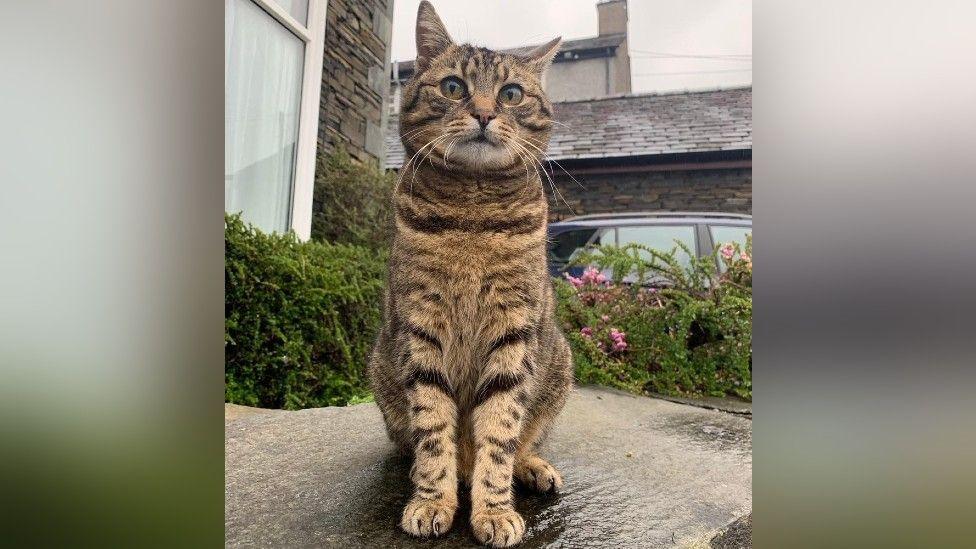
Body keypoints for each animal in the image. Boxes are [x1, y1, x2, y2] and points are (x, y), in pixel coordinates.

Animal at [370, 2, 576, 544]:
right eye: (453, 86)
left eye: (511, 94)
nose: (484, 113)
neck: (473, 212)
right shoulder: (421, 322)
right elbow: (432, 427)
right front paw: (432, 499)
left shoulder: (515, 326)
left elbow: (500, 429)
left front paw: (495, 509)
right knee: (416, 445)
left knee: (522, 439)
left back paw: (532, 467)